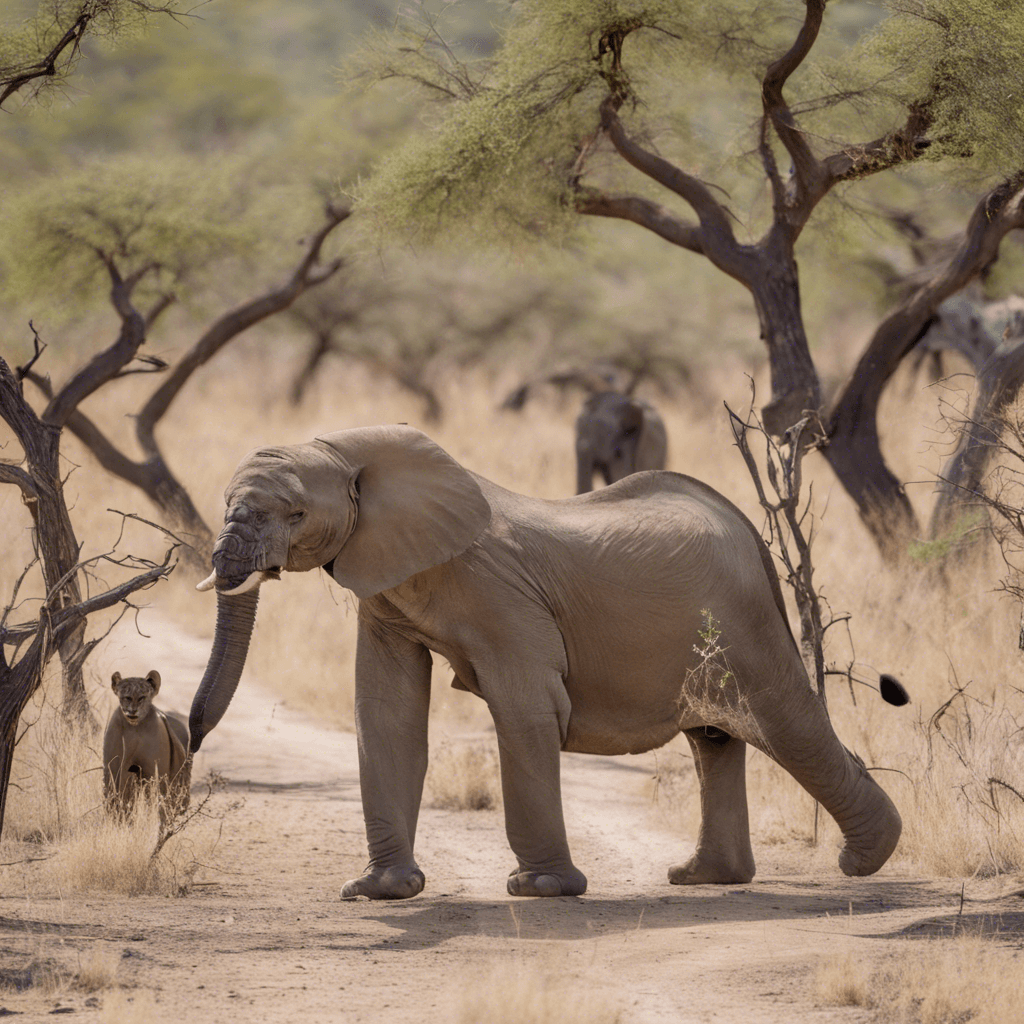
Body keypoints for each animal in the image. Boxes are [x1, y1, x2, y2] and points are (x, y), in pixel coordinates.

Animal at [103, 671, 192, 823]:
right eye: (126, 697)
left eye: (142, 697)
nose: (132, 711)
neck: (134, 729)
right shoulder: (114, 770)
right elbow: (117, 800)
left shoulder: (153, 774)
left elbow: (156, 806)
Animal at [188, 423, 901, 897]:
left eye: (295, 513)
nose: (189, 740)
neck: (349, 448)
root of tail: (747, 526)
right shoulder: (384, 585)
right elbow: (387, 715)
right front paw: (380, 890)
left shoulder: (502, 595)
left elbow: (526, 708)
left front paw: (539, 889)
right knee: (714, 738)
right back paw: (703, 878)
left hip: (744, 618)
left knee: (788, 724)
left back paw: (863, 861)